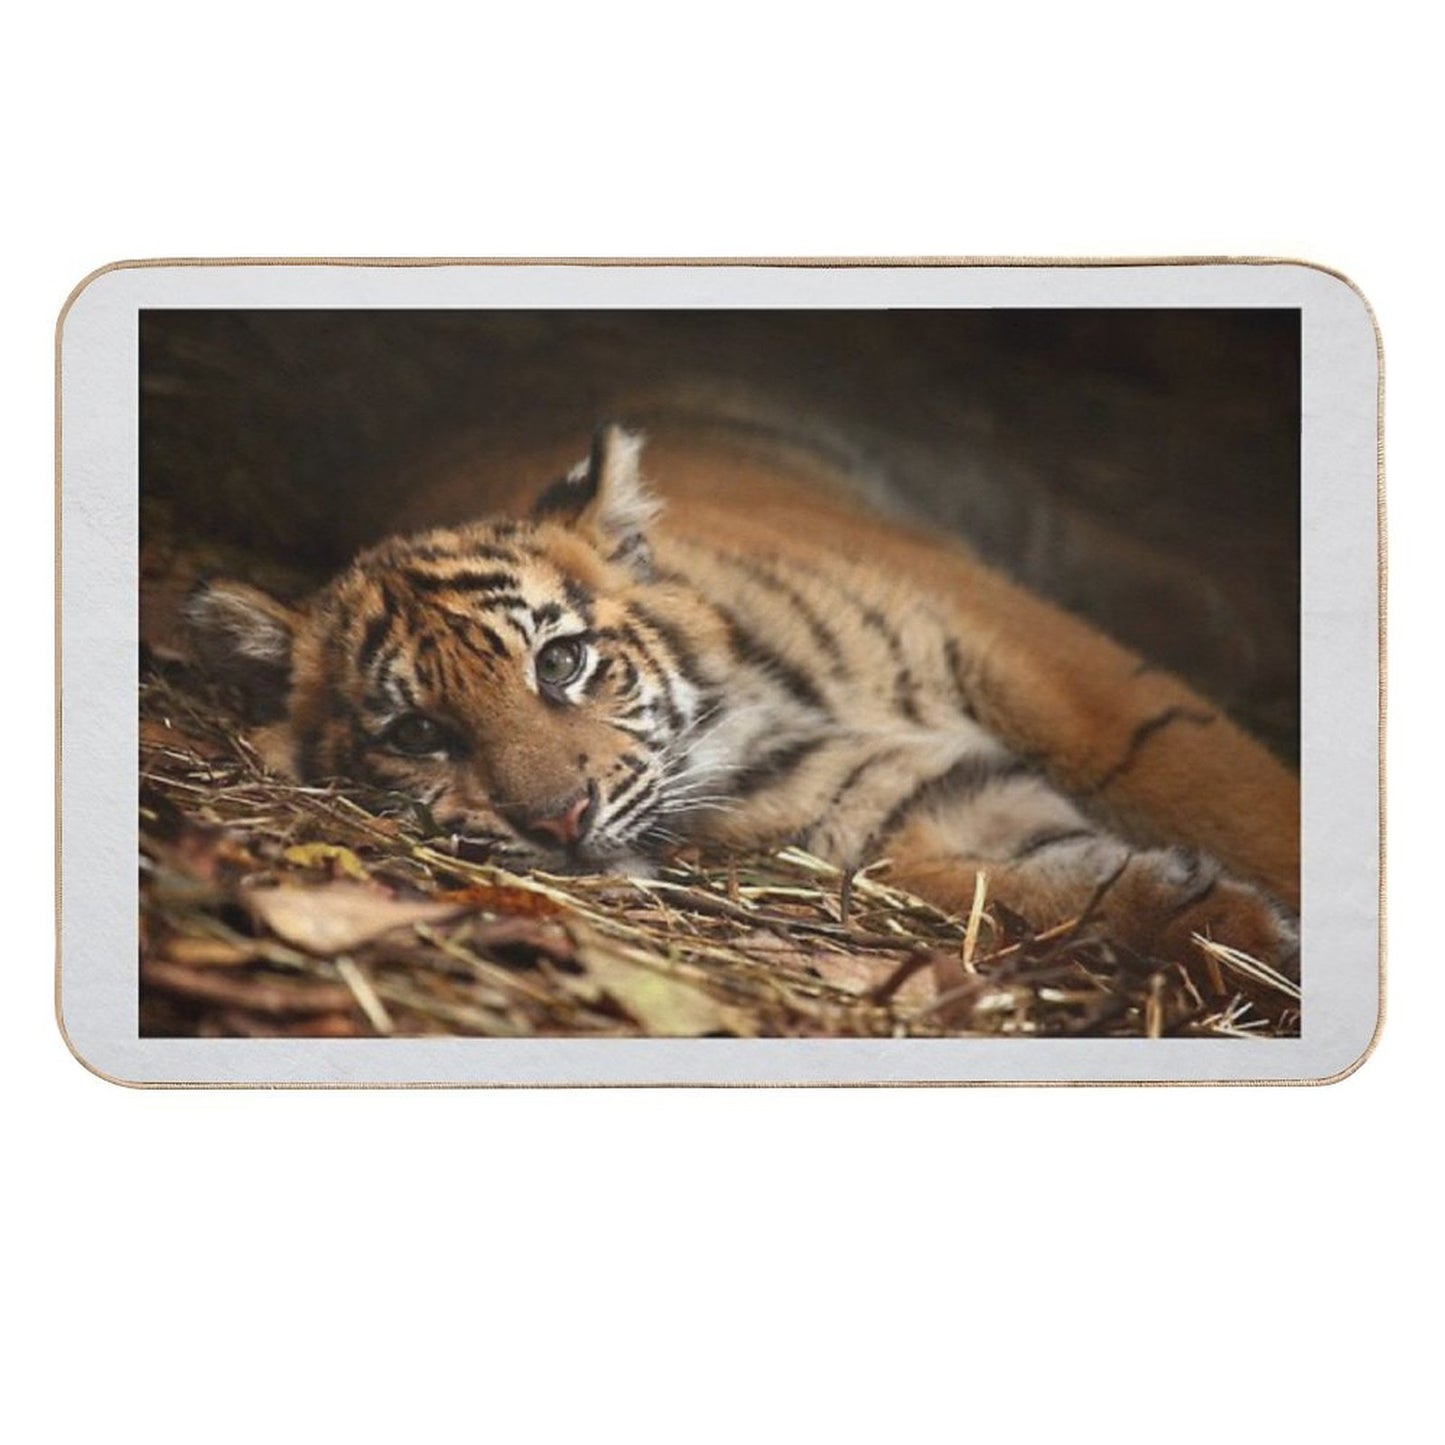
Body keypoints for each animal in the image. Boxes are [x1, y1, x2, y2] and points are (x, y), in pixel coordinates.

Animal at [185, 422, 1300, 973]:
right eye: (418, 733)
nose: (558, 823)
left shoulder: (1046, 664)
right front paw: (1236, 932)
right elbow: (1042, 887)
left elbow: (1231, 791)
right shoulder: (910, 815)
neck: (752, 722)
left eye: (560, 661)